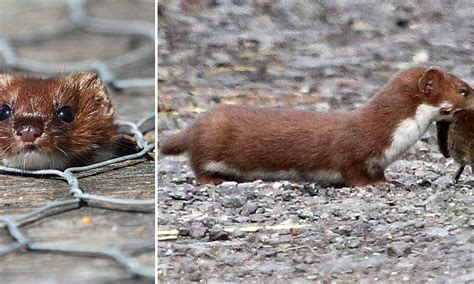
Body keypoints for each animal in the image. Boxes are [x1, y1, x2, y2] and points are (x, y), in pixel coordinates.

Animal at [160, 66, 474, 186]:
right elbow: (352, 171)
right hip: (211, 140)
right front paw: (375, 185)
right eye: (464, 90)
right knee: (197, 163)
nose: (473, 94)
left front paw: (388, 180)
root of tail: (197, 123)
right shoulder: (352, 151)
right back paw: (213, 179)